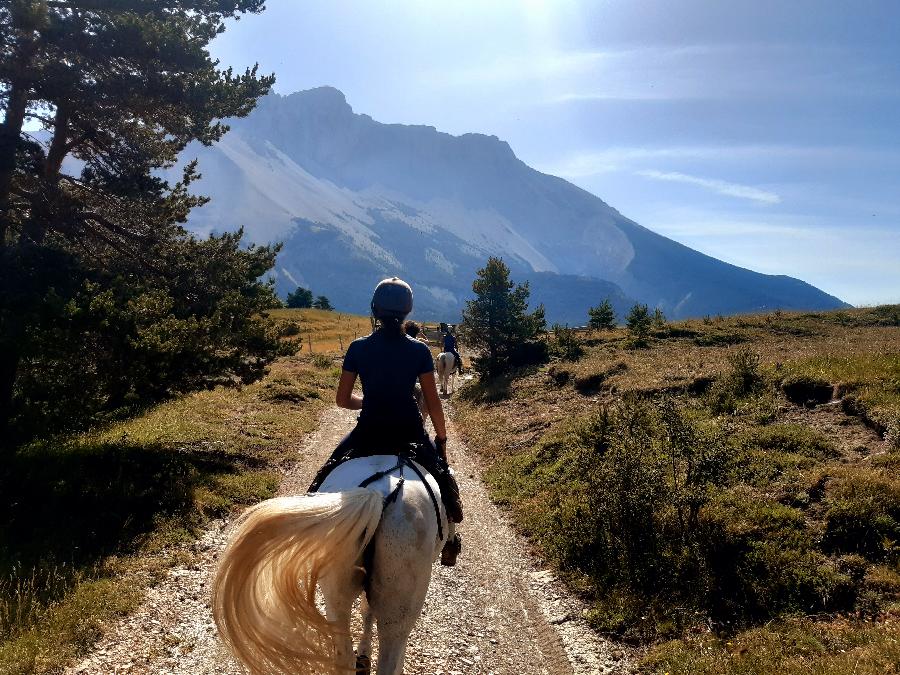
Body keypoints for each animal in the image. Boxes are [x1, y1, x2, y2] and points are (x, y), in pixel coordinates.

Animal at [211, 454, 450, 675]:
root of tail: (378, 495)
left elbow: (366, 612)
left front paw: (364, 654)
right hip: (398, 614)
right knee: (389, 659)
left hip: (336, 597)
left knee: (344, 654)